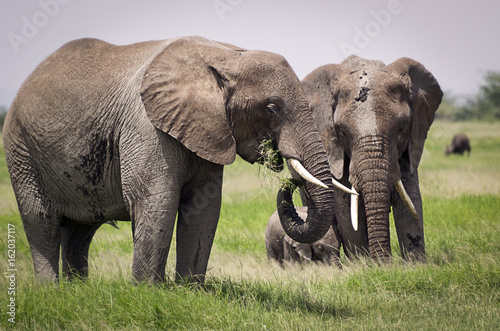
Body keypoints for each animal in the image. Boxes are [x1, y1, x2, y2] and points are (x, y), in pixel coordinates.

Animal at [3, 37, 358, 286]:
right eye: (271, 108)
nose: (286, 175)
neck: (226, 54)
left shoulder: (209, 129)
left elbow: (204, 208)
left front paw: (190, 290)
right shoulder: (146, 126)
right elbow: (156, 201)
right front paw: (148, 292)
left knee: (80, 231)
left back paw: (80, 291)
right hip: (21, 150)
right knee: (41, 220)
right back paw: (52, 291)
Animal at [284, 55, 444, 264]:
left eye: (401, 128)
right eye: (342, 132)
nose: (385, 264)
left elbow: (410, 200)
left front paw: (415, 265)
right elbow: (347, 207)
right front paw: (363, 265)